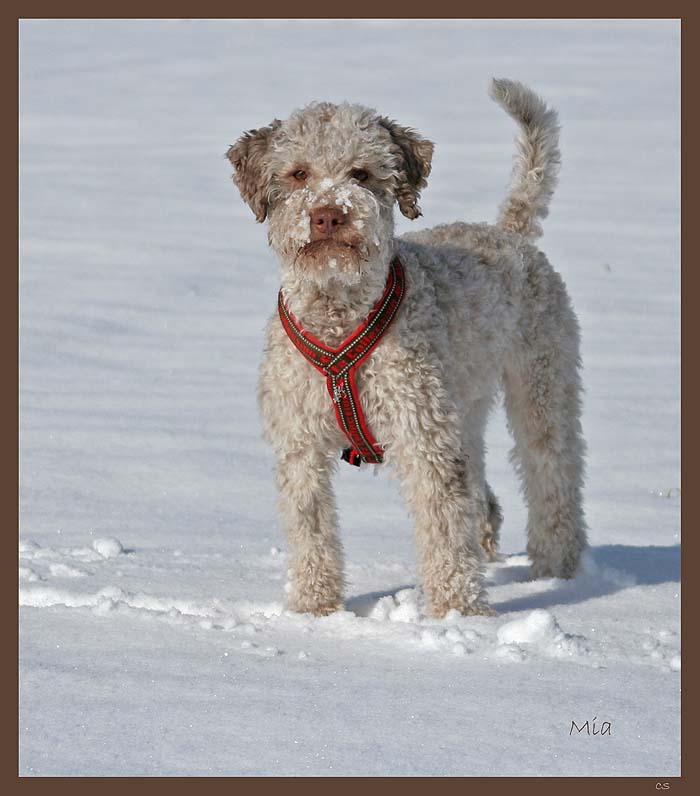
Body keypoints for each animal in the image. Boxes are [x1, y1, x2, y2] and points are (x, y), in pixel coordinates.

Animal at [227, 79, 588, 616]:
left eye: (361, 172)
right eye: (298, 173)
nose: (329, 214)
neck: (339, 315)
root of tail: (509, 232)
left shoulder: (423, 432)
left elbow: (443, 526)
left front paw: (458, 612)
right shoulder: (298, 438)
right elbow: (311, 527)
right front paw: (313, 608)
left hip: (542, 385)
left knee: (553, 475)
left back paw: (557, 569)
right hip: (465, 404)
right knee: (484, 493)